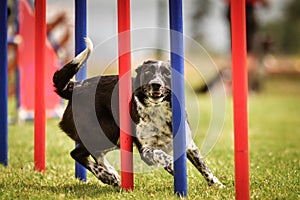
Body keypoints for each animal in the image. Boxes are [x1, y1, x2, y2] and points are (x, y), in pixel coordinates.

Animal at [52, 37, 224, 188]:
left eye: (167, 74)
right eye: (147, 72)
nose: (155, 84)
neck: (158, 112)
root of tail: (75, 87)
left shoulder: (189, 144)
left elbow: (203, 166)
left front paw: (217, 184)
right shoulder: (145, 150)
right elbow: (161, 155)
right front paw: (171, 163)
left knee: (94, 154)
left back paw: (112, 175)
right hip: (107, 131)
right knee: (77, 154)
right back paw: (107, 176)